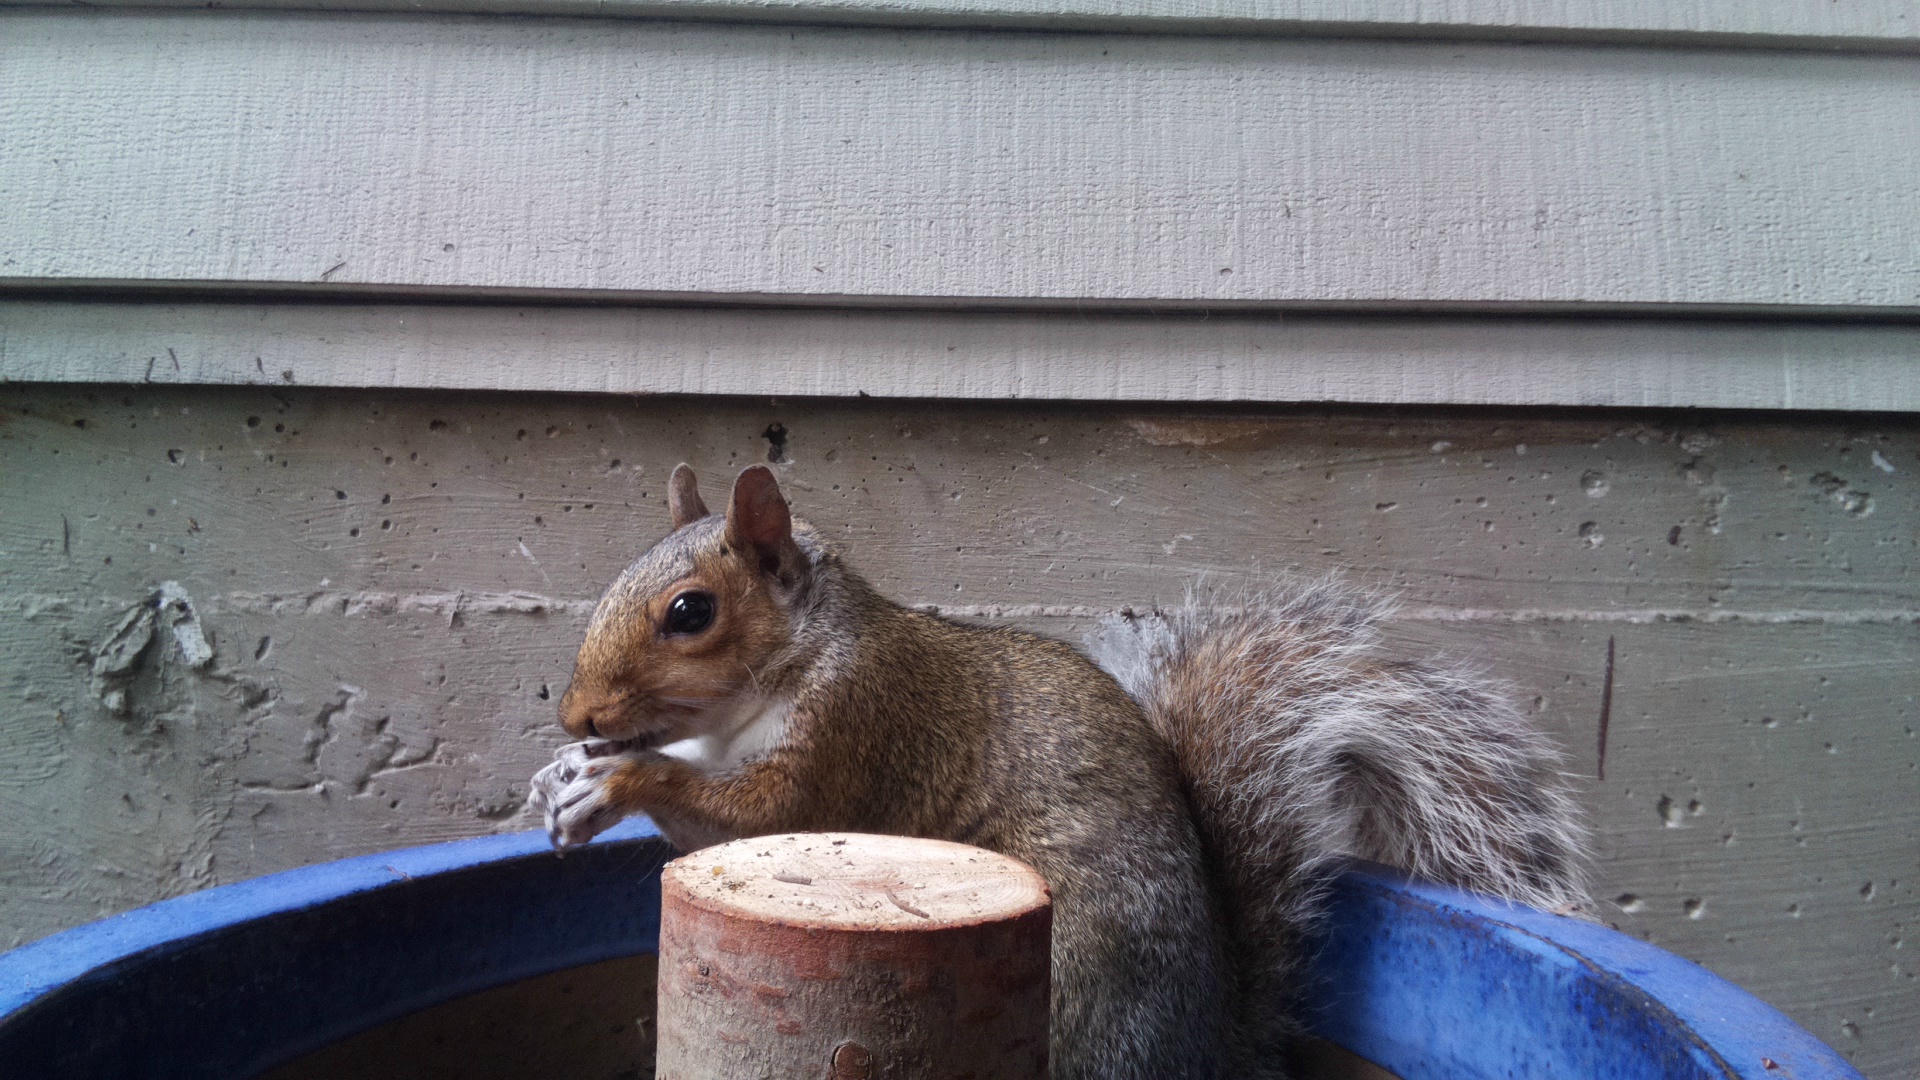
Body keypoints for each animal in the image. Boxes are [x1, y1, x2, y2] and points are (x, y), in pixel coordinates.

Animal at [529, 463, 1587, 1080]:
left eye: (690, 612)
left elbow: (751, 816)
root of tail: (1202, 1054)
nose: (577, 714)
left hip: (1070, 982)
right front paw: (566, 776)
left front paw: (618, 781)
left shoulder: (852, 734)